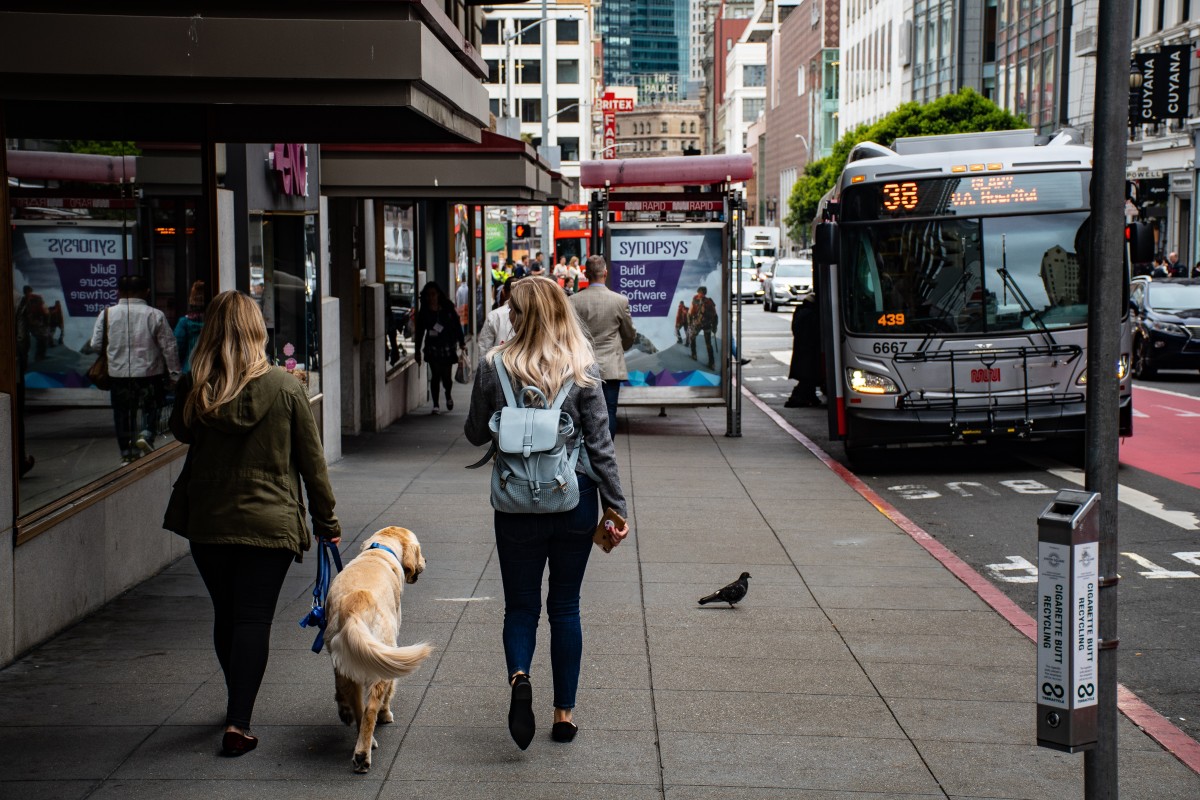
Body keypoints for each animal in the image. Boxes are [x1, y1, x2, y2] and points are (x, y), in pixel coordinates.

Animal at [326, 525, 434, 767]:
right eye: (420, 549)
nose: (426, 560)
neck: (379, 550)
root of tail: (355, 608)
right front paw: (386, 714)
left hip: (347, 660)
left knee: (356, 704)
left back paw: (355, 727)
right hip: (381, 657)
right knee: (370, 710)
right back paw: (362, 754)